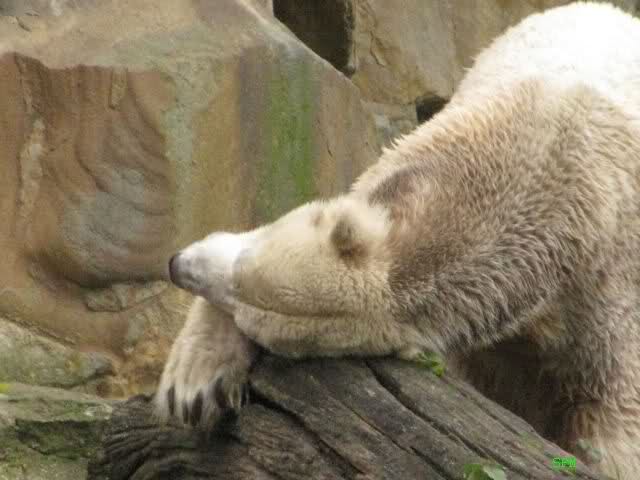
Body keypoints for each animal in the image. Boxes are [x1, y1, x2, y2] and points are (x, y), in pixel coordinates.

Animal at [155, 3, 640, 478]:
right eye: (243, 271)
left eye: (247, 308)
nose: (176, 264)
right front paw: (194, 386)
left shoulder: (605, 291)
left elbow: (612, 422)